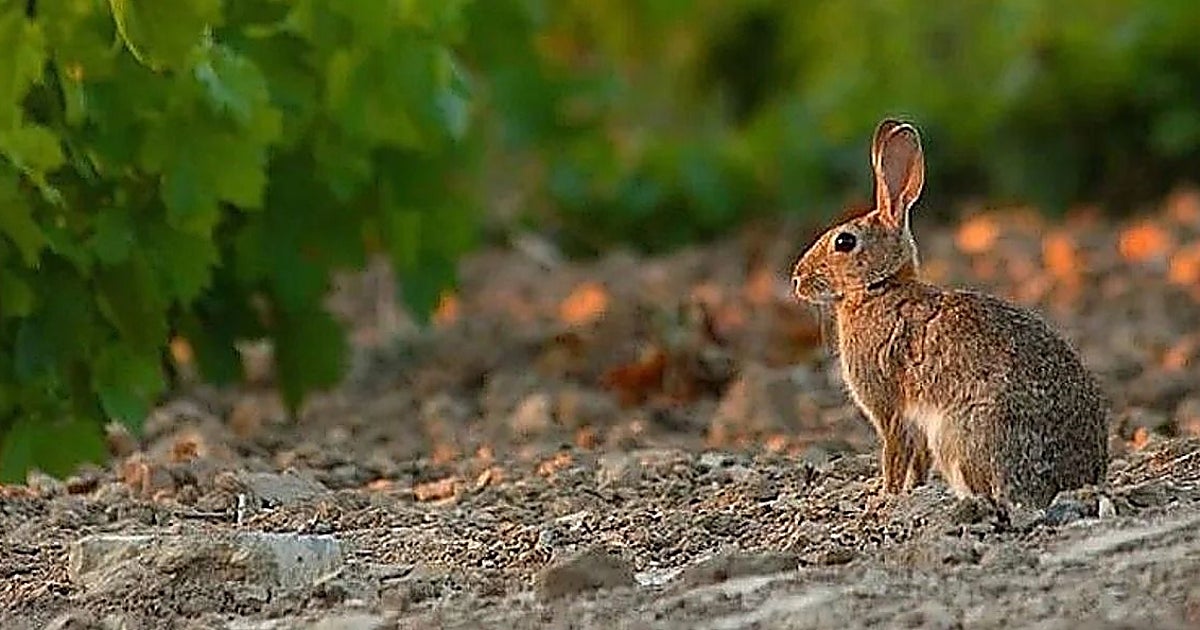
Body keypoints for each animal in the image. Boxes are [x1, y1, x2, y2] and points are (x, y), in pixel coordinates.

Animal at [791, 119, 1109, 508]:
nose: (797, 280)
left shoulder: (888, 407)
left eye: (844, 242)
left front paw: (885, 496)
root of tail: (1075, 481)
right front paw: (910, 491)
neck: (880, 288)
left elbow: (894, 453)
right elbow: (917, 460)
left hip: (959, 434)